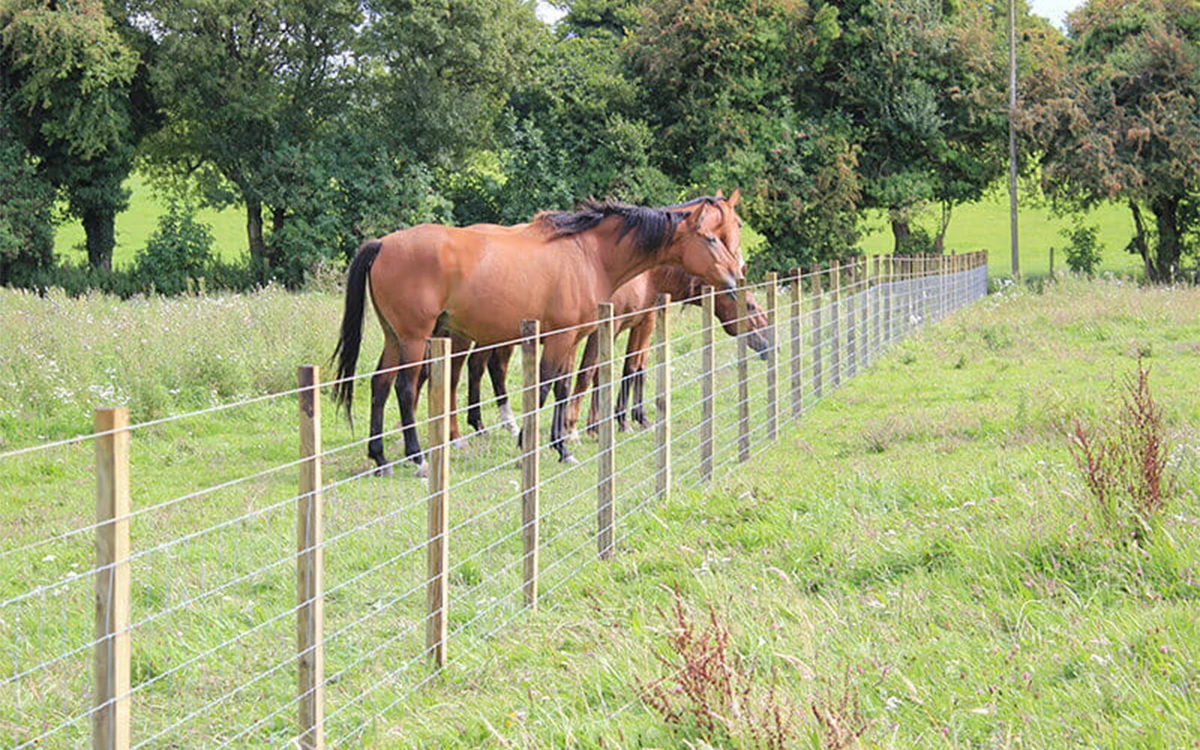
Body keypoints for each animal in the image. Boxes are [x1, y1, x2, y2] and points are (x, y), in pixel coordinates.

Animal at [328, 193, 739, 472]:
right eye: (711, 238)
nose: (735, 277)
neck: (588, 255)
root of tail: (383, 244)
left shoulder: (572, 338)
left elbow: (562, 387)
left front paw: (562, 447)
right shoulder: (559, 339)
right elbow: (543, 388)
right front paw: (532, 443)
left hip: (394, 337)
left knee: (380, 385)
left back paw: (380, 457)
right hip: (415, 337)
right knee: (405, 388)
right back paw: (417, 458)